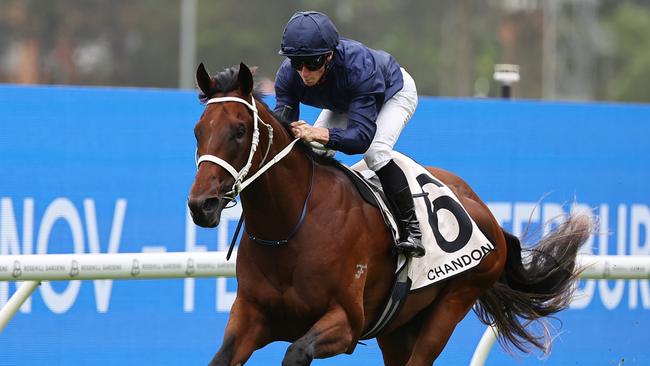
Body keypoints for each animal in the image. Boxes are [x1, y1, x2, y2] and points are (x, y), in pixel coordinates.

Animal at [187, 63, 592, 366]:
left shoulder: (346, 322)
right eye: (198, 131)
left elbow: (296, 352)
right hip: (398, 326)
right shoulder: (251, 315)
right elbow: (222, 358)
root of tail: (485, 213)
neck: (290, 228)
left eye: (240, 130)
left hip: (452, 304)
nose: (201, 204)